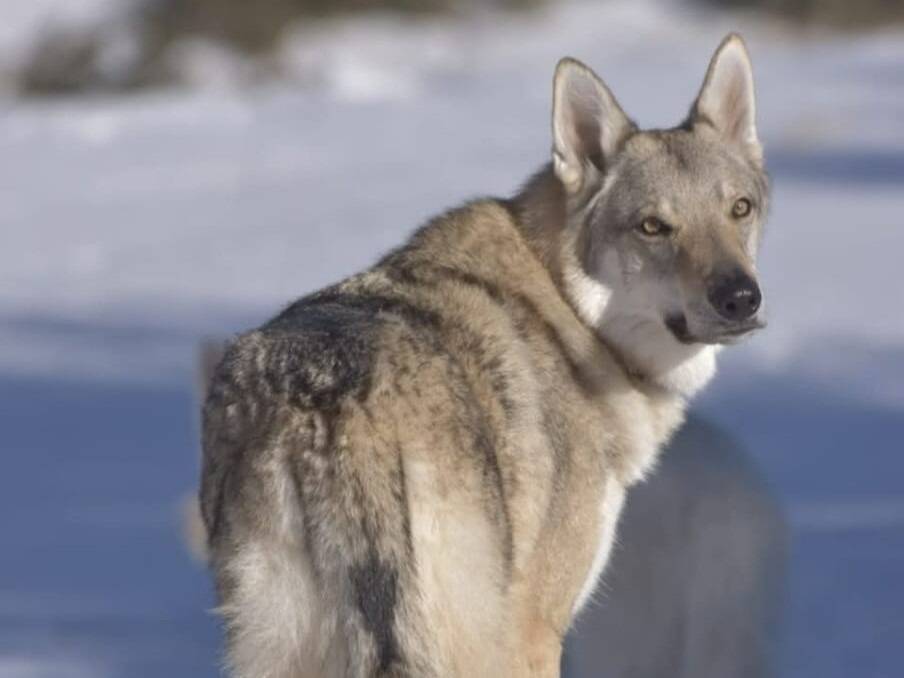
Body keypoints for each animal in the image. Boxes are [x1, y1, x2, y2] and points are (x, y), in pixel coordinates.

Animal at [199, 34, 769, 678]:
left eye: (740, 209)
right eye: (653, 227)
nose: (741, 298)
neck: (571, 315)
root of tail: (335, 417)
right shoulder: (536, 631)